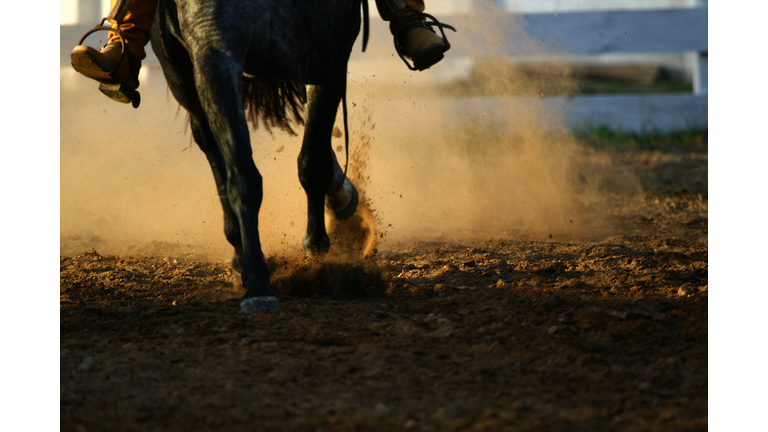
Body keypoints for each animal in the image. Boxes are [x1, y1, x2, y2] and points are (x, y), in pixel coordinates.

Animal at [149, 0, 368, 312]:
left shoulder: (328, 49)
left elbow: (312, 162)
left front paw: (316, 250)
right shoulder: (212, 52)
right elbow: (243, 177)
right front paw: (256, 283)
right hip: (182, 75)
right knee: (210, 143)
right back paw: (240, 253)